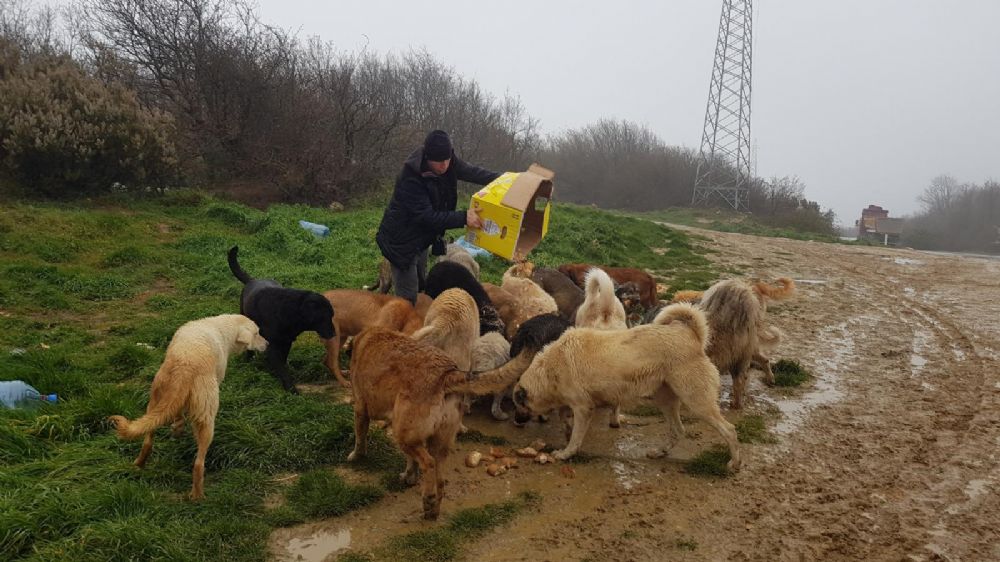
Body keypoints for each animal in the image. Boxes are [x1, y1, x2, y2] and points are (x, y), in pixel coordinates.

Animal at [109, 312, 268, 496]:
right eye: (257, 333)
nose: (268, 344)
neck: (221, 327)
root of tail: (184, 367)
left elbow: (178, 415)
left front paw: (177, 428)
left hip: (154, 402)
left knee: (148, 440)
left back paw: (139, 464)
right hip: (207, 418)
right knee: (198, 464)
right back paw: (198, 496)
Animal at [228, 245, 334, 394]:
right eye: (325, 317)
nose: (334, 334)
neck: (290, 311)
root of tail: (252, 280)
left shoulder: (286, 342)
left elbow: (282, 363)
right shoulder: (273, 345)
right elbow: (281, 368)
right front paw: (291, 388)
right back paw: (248, 360)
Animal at [352, 326, 540, 520]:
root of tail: (447, 374)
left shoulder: (360, 409)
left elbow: (360, 438)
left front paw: (355, 457)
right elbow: (411, 462)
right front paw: (410, 477)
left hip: (403, 436)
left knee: (428, 463)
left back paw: (428, 498)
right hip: (436, 444)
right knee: (440, 479)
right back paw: (433, 510)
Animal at [516, 302, 744, 468]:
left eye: (519, 405)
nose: (517, 422)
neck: (550, 368)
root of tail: (690, 335)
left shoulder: (583, 408)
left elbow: (575, 437)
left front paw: (565, 453)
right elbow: (565, 418)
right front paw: (566, 432)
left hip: (696, 401)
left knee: (729, 430)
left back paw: (734, 463)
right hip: (665, 400)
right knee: (678, 430)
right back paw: (660, 452)